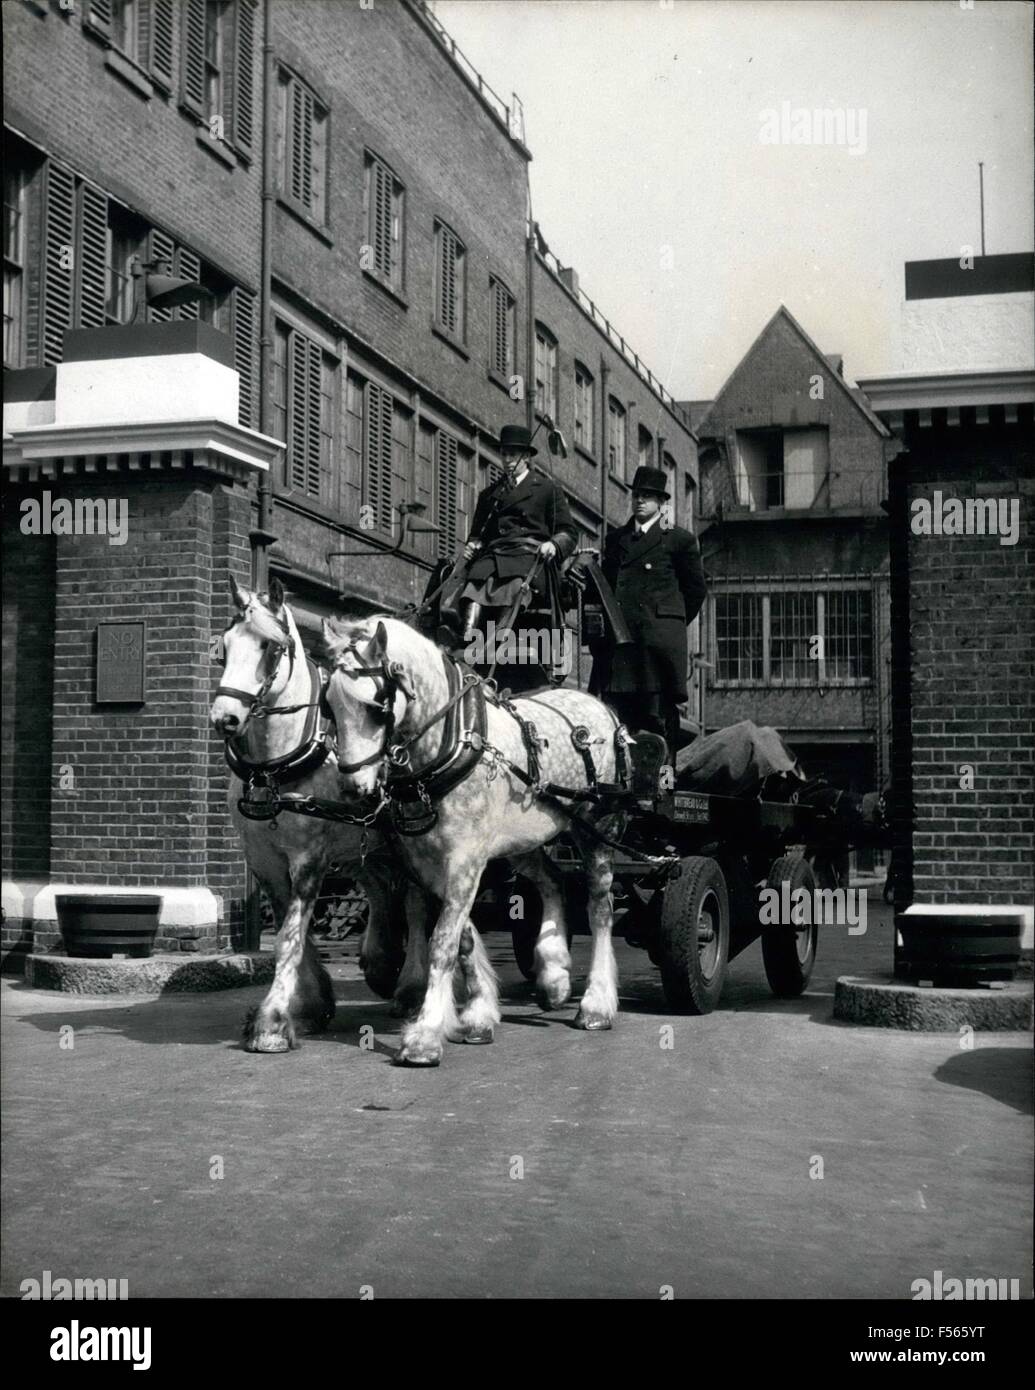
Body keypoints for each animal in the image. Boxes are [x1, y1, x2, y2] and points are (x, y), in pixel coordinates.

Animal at [208, 578, 425, 1050]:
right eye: (225, 647)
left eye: (271, 648)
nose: (224, 718)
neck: (275, 767)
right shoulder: (266, 861)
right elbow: (292, 934)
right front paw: (307, 1006)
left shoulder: (308, 859)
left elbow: (290, 936)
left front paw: (273, 1020)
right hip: (369, 846)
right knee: (381, 891)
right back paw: (383, 965)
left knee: (417, 903)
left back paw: (412, 988)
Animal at [325, 614, 630, 1067]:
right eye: (328, 704)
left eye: (375, 706)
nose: (351, 787)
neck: (449, 744)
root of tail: (601, 707)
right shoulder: (428, 862)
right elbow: (463, 937)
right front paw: (478, 1015)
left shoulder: (465, 860)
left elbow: (443, 942)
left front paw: (425, 1035)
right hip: (525, 840)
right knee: (553, 881)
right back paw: (554, 975)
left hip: (596, 827)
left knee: (600, 907)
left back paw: (596, 1003)